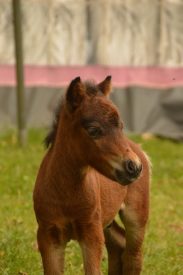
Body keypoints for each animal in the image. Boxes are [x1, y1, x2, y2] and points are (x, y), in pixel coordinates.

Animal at [33, 76, 150, 275]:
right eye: (93, 130)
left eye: (121, 126)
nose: (134, 167)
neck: (66, 193)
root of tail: (138, 149)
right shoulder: (48, 235)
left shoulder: (91, 233)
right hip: (107, 222)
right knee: (118, 244)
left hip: (135, 216)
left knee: (133, 255)